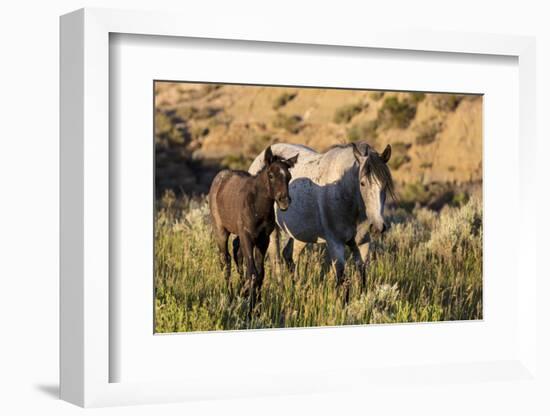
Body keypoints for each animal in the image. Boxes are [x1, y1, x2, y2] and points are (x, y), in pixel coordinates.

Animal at [248, 142, 394, 286]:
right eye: (362, 183)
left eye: (385, 184)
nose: (377, 227)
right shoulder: (335, 244)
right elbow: (342, 279)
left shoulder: (363, 244)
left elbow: (362, 277)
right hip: (273, 232)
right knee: (276, 261)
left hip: (300, 234)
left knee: (289, 255)